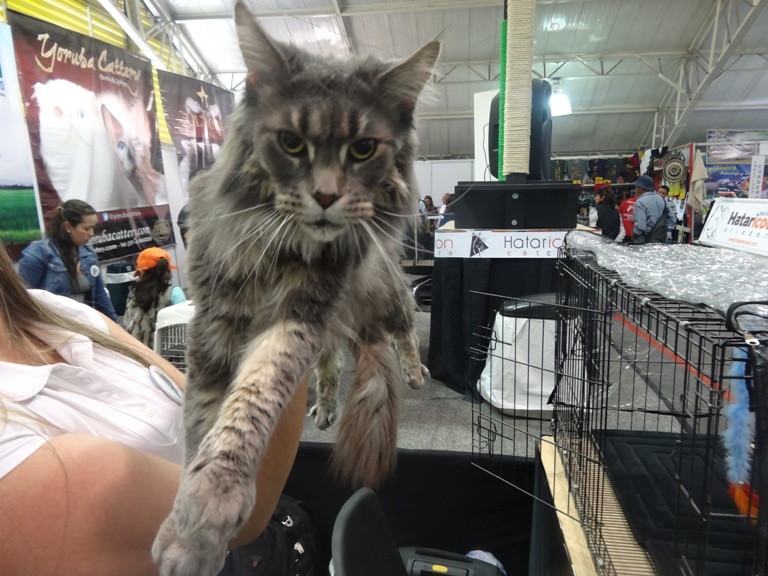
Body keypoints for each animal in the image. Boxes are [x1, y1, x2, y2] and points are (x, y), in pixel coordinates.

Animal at [152, 2, 438, 572]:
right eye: (291, 143)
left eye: (363, 149)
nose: (326, 197)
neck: (279, 246)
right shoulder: (216, 318)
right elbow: (201, 416)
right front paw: (191, 513)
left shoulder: (298, 316)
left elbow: (249, 405)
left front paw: (208, 510)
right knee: (329, 366)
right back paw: (324, 408)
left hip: (382, 296)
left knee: (401, 330)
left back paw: (415, 372)